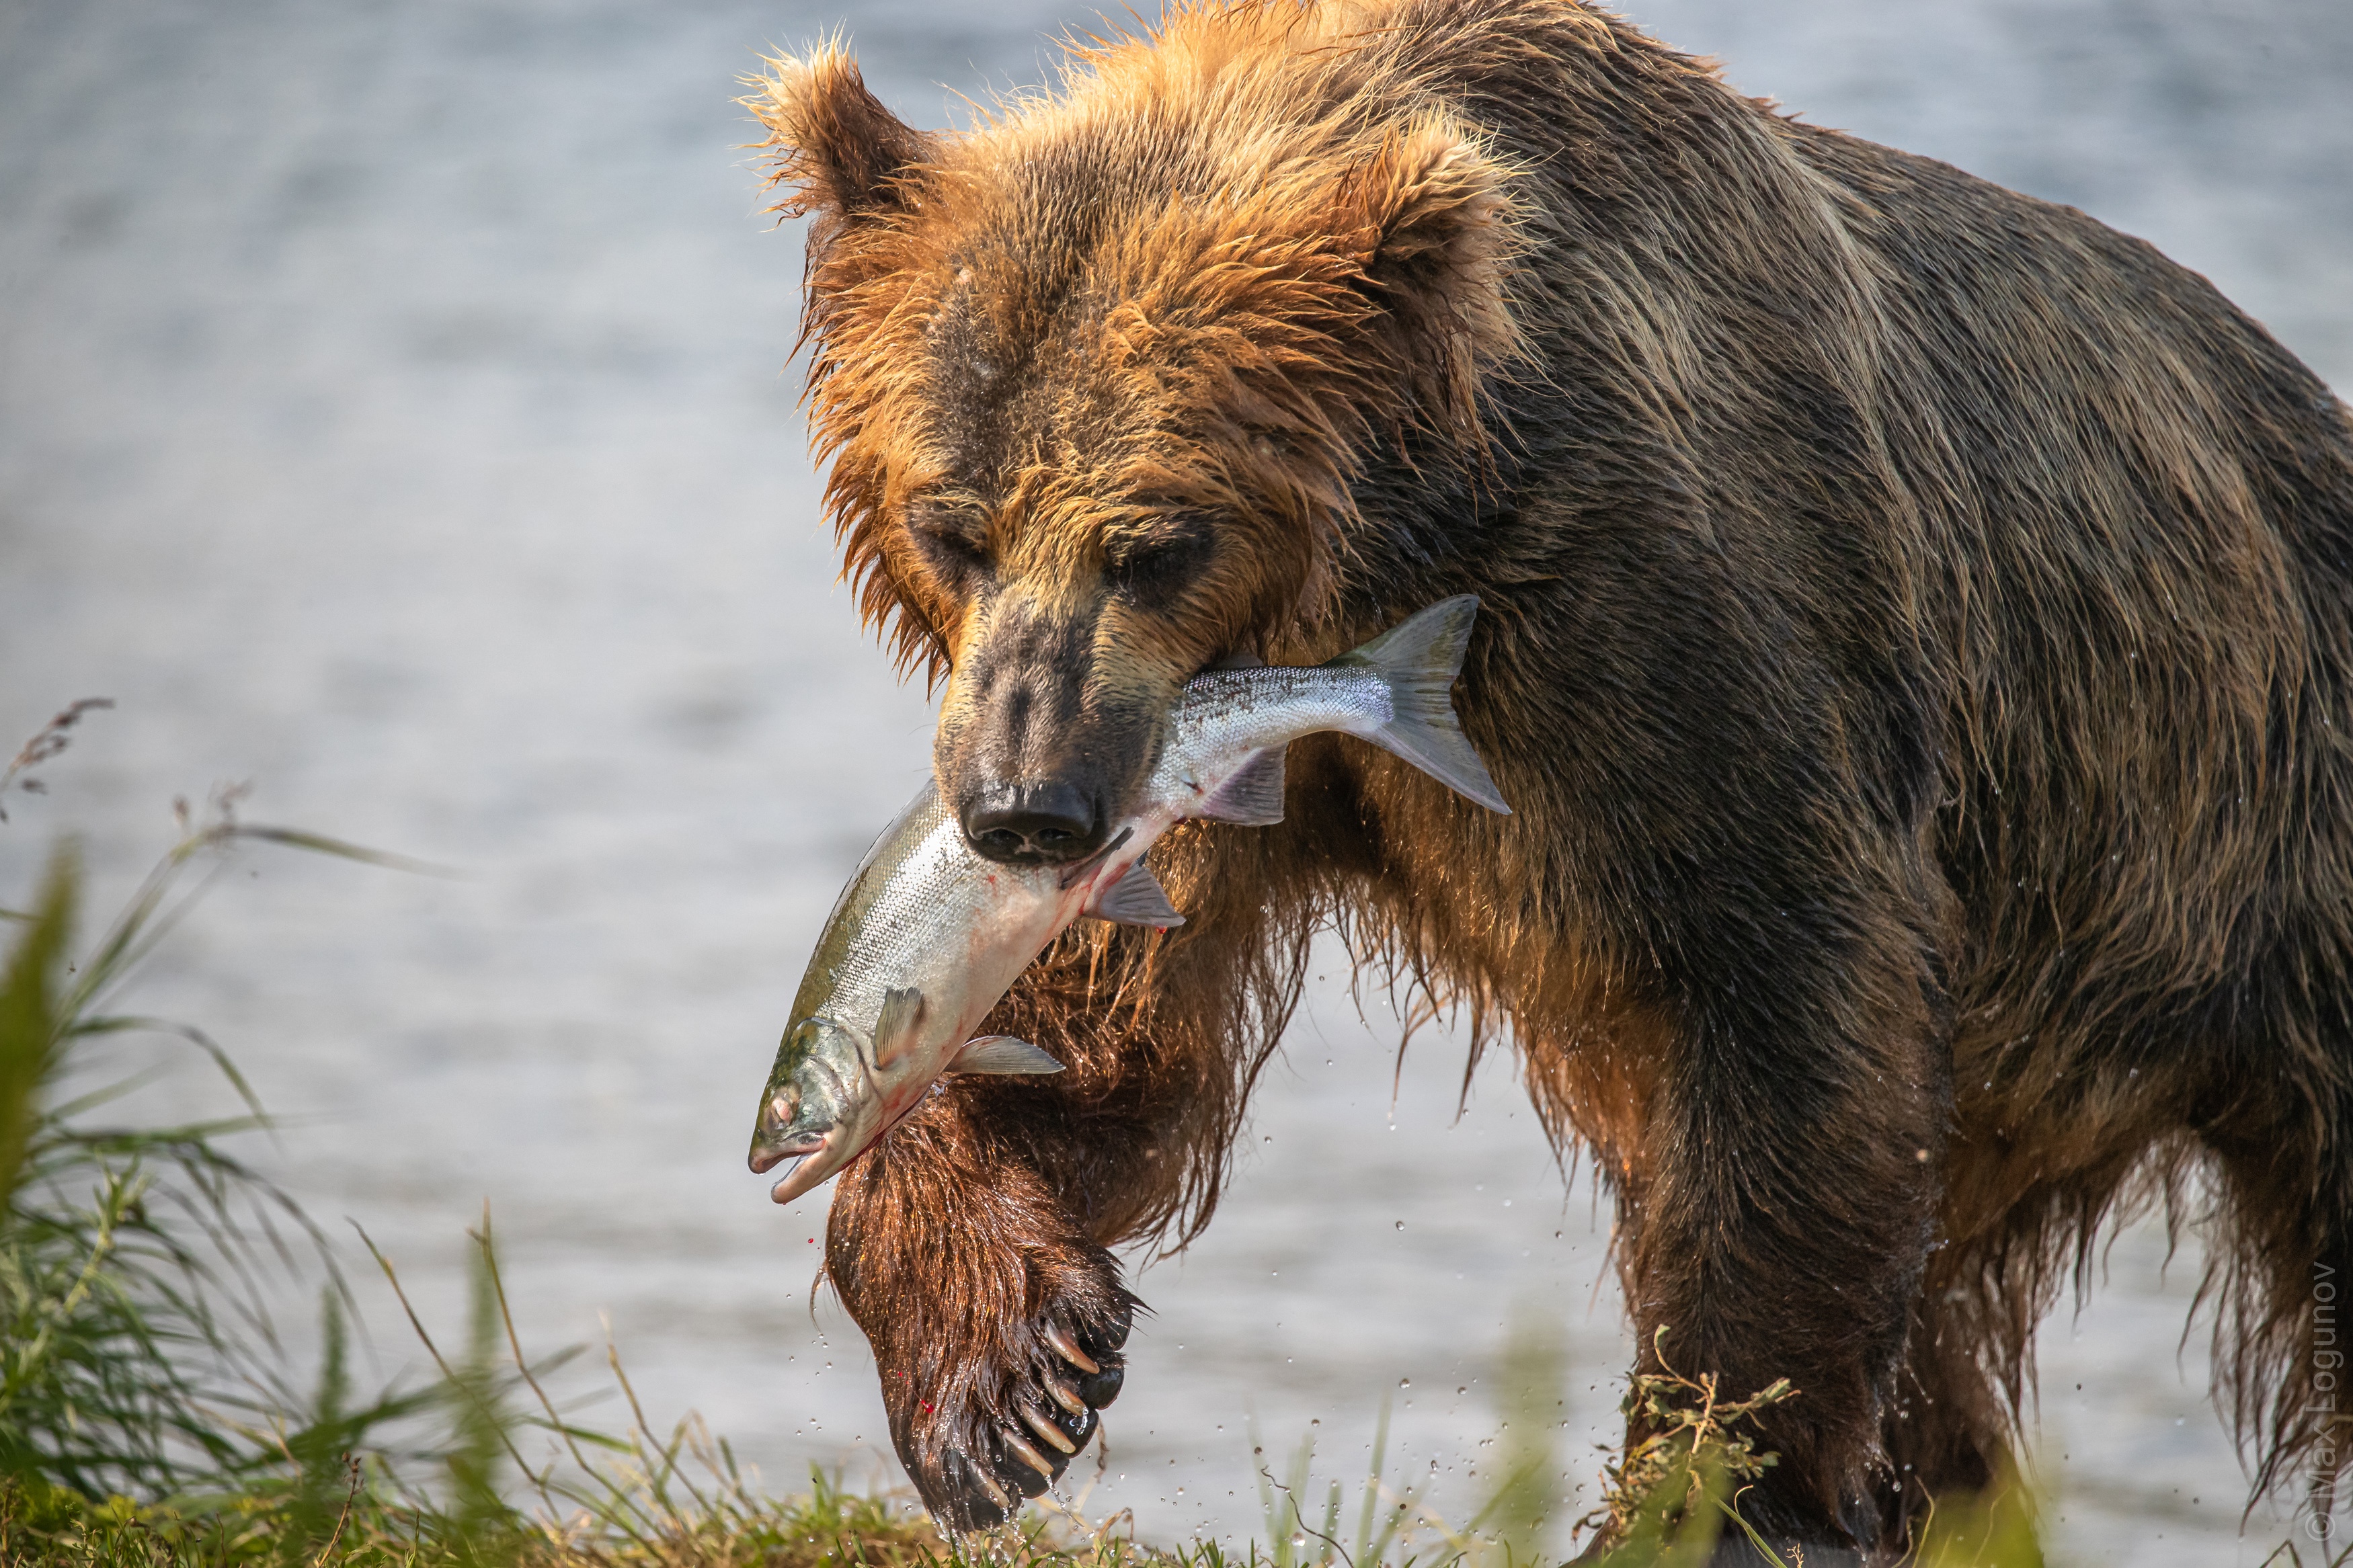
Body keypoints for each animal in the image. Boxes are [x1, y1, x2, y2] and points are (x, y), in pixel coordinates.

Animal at [744, 0, 2353, 1551]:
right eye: (950, 525)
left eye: (1155, 541)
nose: (1022, 806)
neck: (1398, 537)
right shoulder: (1216, 758)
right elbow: (1111, 1031)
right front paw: (1003, 1377)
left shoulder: (1670, 629)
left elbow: (1794, 1007)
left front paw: (1708, 1497)